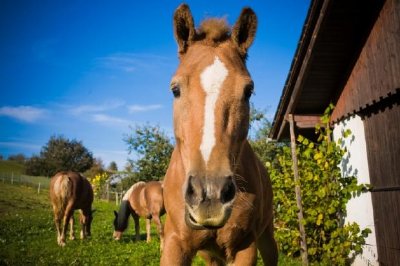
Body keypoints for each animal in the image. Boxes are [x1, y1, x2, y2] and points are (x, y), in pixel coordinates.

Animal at [161, 4, 276, 266]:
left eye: (248, 91)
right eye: (175, 89)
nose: (209, 194)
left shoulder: (245, 247)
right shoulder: (174, 243)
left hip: (267, 237)